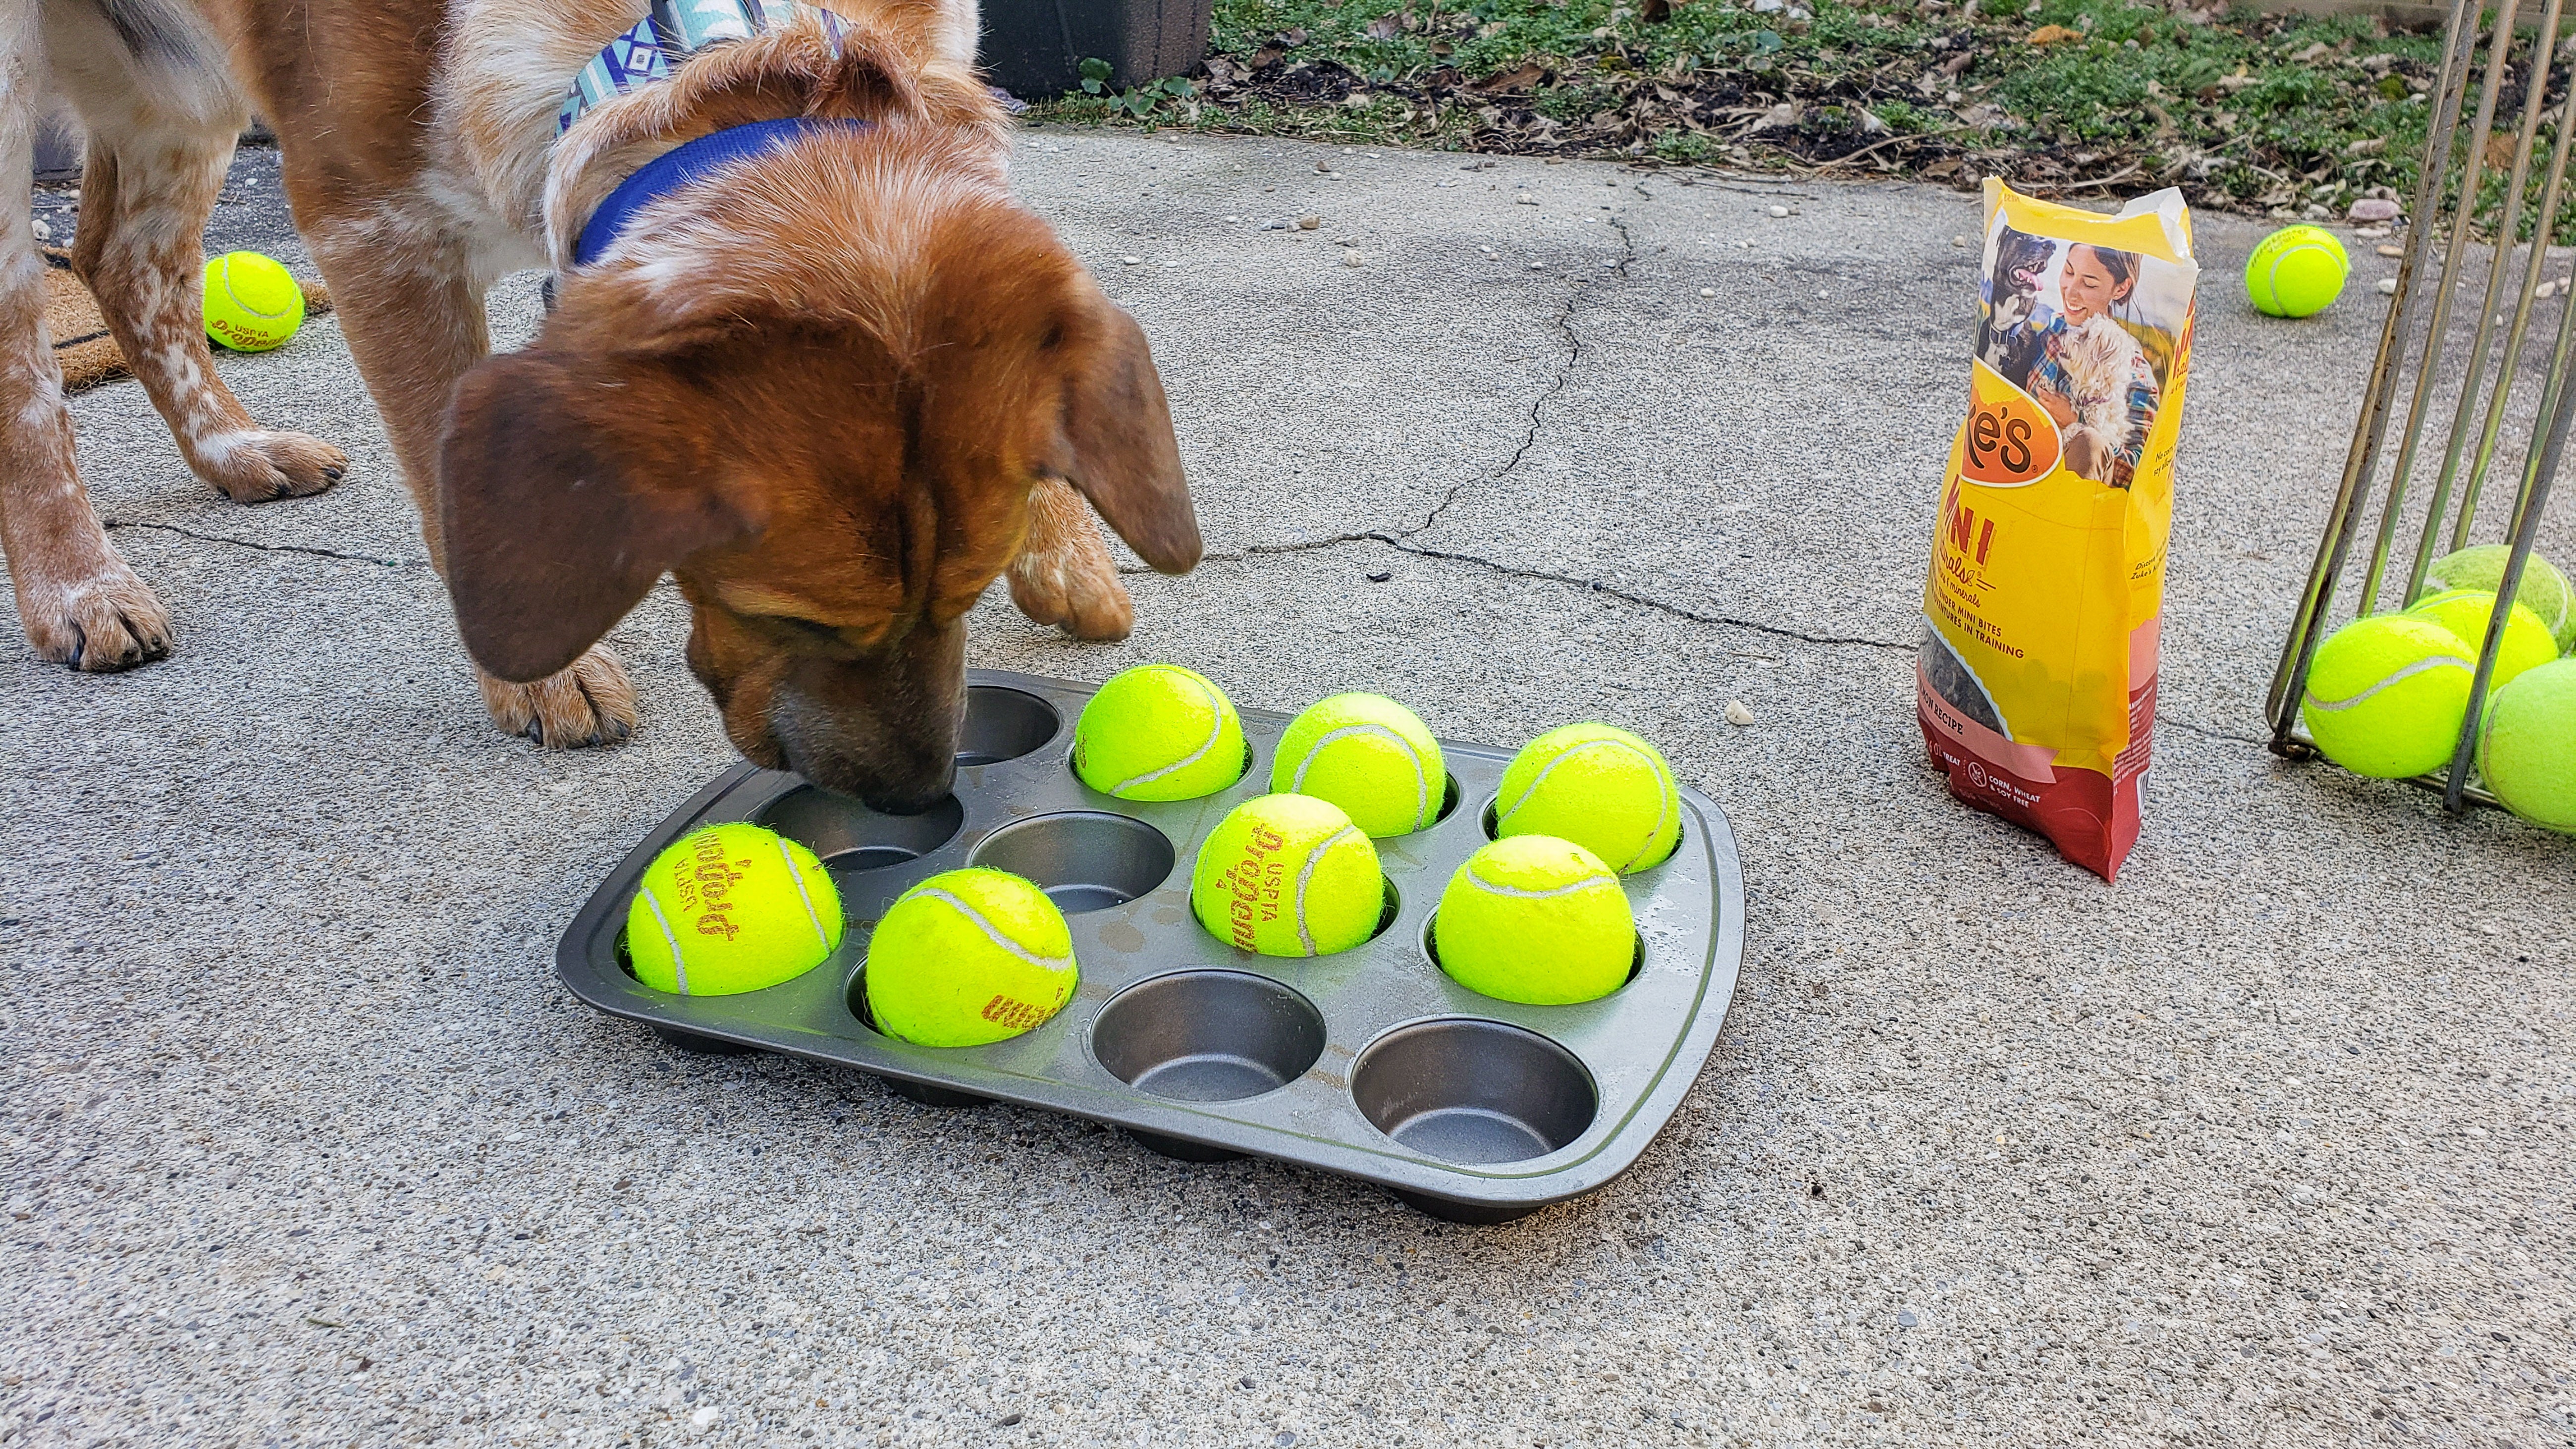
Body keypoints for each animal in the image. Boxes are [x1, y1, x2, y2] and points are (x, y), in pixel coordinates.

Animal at [5, 0, 1195, 804]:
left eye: (971, 593)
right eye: (788, 619)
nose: (918, 801)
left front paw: (1068, 552)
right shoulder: (371, 226)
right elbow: (448, 469)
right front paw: (543, 674)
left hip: (177, 89)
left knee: (121, 257)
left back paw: (234, 451)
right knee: (31, 360)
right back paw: (81, 587)